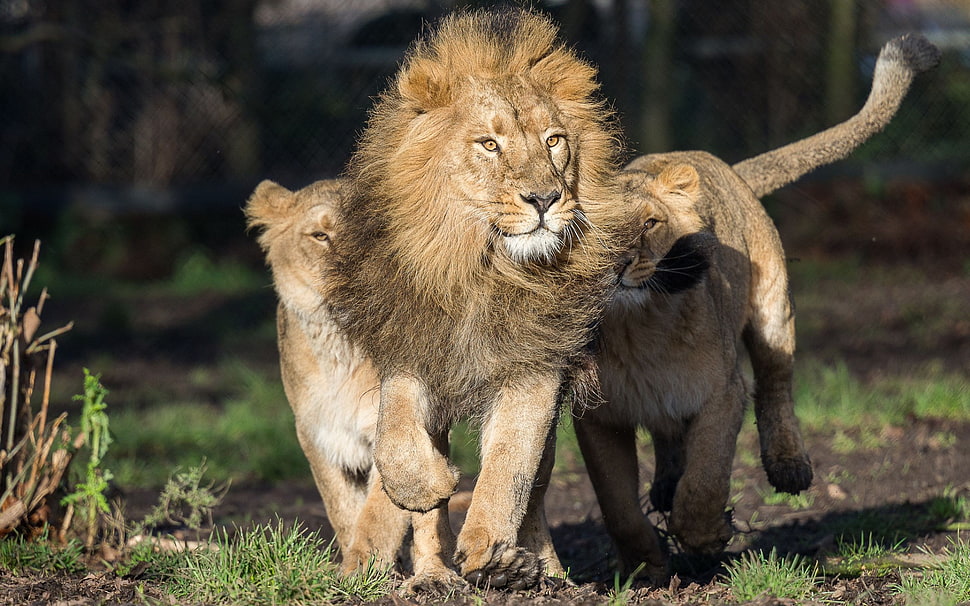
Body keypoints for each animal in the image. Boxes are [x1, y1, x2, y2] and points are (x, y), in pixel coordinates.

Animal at [242, 179, 412, 576]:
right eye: (320, 235)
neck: (343, 348)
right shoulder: (316, 431)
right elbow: (341, 506)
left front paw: (364, 566)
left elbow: (380, 509)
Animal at [326, 7, 640, 592]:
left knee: (535, 489)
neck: (483, 269)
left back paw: (535, 571)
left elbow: (509, 466)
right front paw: (431, 483)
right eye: (489, 145)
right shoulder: (413, 351)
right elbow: (393, 439)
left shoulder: (535, 365)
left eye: (554, 141)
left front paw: (491, 552)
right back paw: (423, 574)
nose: (545, 198)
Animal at [576, 34, 936, 584]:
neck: (636, 329)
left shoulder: (723, 392)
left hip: (773, 311)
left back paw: (788, 465)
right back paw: (664, 486)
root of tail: (725, 167)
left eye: (651, 223)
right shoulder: (596, 417)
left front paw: (703, 537)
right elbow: (617, 507)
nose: (618, 264)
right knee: (668, 435)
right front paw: (643, 569)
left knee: (775, 384)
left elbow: (706, 478)